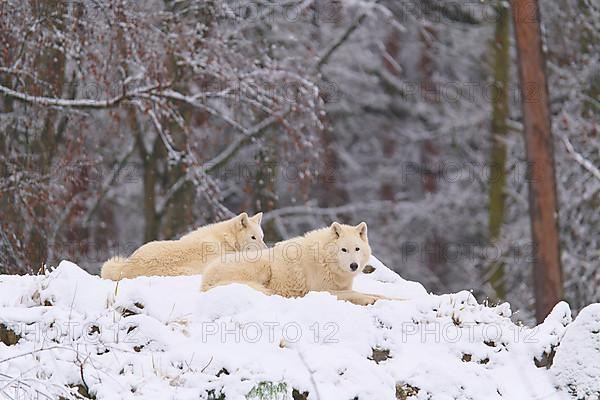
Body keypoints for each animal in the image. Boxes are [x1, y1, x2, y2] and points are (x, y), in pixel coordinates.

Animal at [203, 222, 394, 306]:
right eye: (344, 250)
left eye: (357, 249)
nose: (354, 265)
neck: (324, 261)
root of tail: (204, 281)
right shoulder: (323, 291)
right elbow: (355, 294)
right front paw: (369, 299)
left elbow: (379, 294)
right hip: (262, 267)